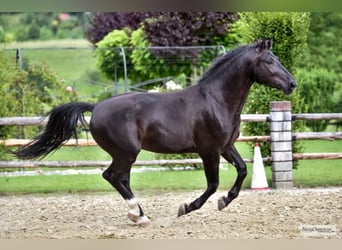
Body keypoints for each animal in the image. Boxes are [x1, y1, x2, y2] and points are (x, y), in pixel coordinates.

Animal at [14, 39, 296, 227]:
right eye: (269, 61)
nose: (292, 84)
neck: (216, 100)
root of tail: (96, 107)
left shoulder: (226, 147)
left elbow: (242, 170)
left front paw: (225, 201)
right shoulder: (209, 150)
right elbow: (212, 184)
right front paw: (186, 208)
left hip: (125, 154)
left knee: (121, 179)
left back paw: (139, 215)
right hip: (126, 152)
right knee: (112, 176)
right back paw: (138, 216)